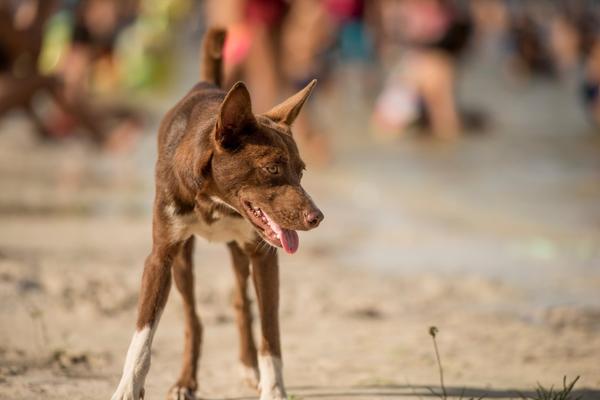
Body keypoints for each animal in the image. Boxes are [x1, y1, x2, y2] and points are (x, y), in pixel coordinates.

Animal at [109, 28, 322, 400]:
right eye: (271, 169)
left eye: (301, 171)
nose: (317, 217)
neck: (215, 200)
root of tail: (208, 83)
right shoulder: (160, 257)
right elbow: (143, 335)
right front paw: (128, 387)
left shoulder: (264, 257)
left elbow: (270, 332)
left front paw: (273, 388)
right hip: (183, 260)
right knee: (193, 318)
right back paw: (185, 381)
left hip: (240, 252)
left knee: (241, 304)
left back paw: (248, 367)